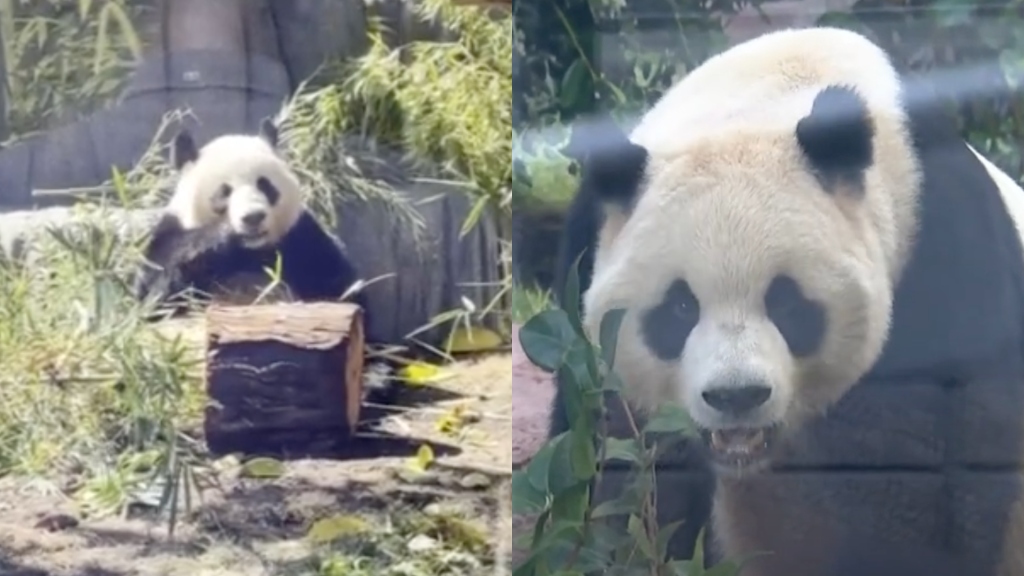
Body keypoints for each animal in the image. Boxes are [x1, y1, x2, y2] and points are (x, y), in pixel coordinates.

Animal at [550, 26, 1024, 576]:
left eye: (786, 303)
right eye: (680, 308)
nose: (737, 396)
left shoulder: (943, 255)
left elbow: (919, 472)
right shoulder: (583, 260)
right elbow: (613, 463)